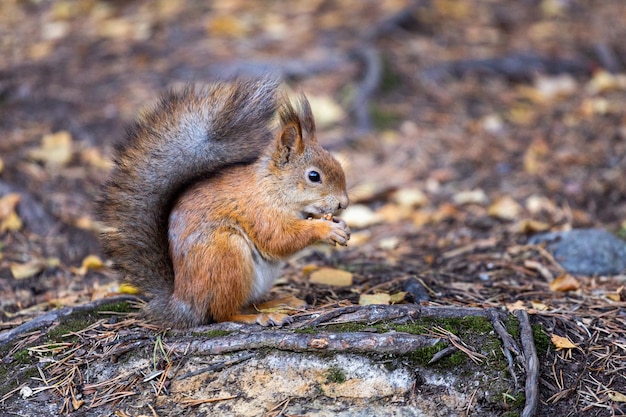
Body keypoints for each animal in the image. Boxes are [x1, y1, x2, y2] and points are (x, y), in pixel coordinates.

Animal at [100, 78, 348, 328]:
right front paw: (326, 229)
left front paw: (340, 226)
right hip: (226, 255)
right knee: (223, 313)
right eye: (314, 176)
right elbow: (278, 239)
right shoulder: (259, 211)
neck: (272, 187)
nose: (343, 204)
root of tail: (184, 302)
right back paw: (259, 316)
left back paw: (277, 302)